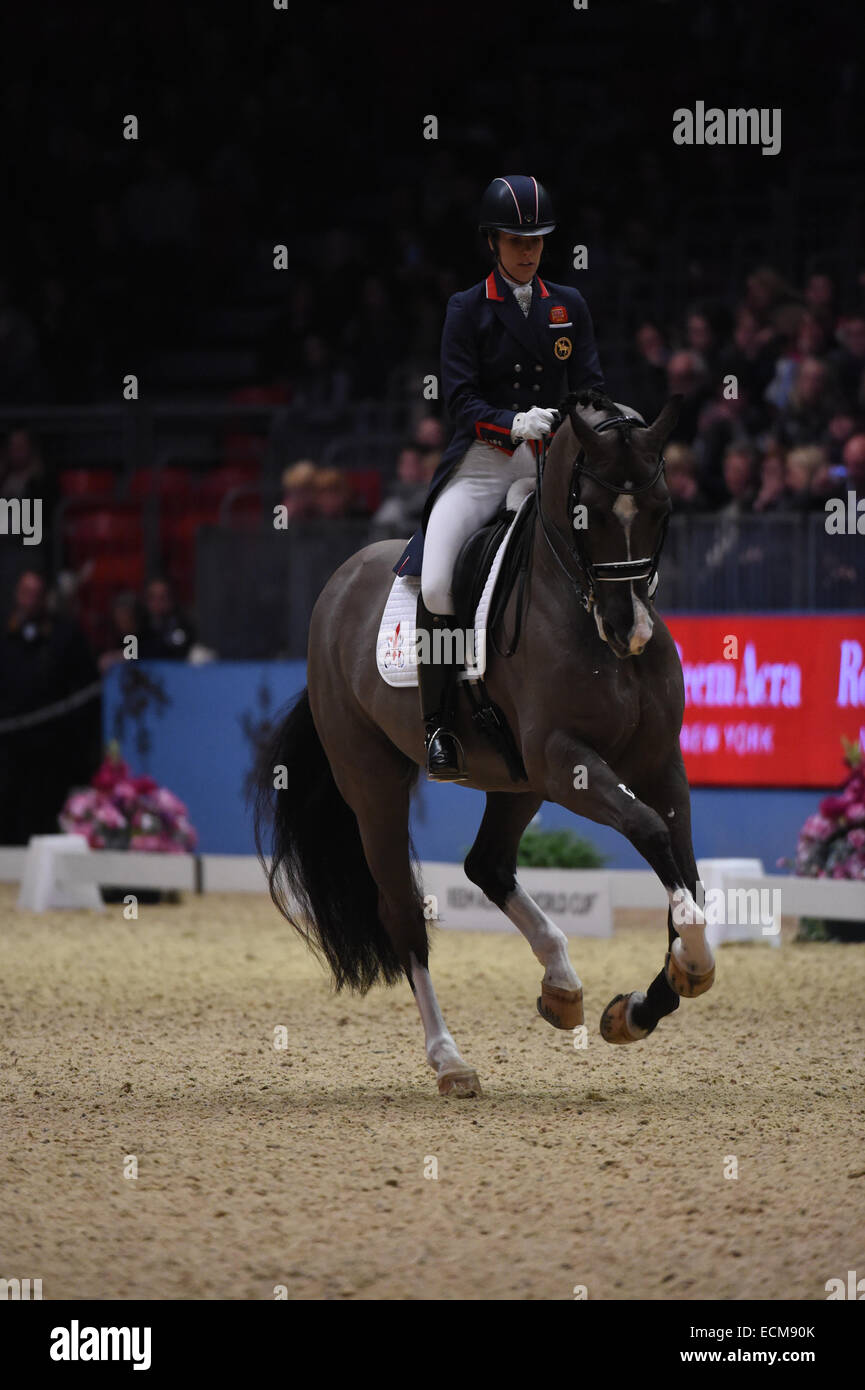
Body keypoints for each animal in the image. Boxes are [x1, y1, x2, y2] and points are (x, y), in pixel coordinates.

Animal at [255, 391, 717, 1095]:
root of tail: (340, 584)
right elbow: (651, 833)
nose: (629, 631)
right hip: (376, 783)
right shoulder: (565, 761)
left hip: (517, 782)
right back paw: (450, 1061)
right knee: (402, 912)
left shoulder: (658, 764)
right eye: (587, 514)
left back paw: (561, 984)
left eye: (663, 508)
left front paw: (643, 1005)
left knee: (486, 865)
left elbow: (682, 868)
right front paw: (685, 970)